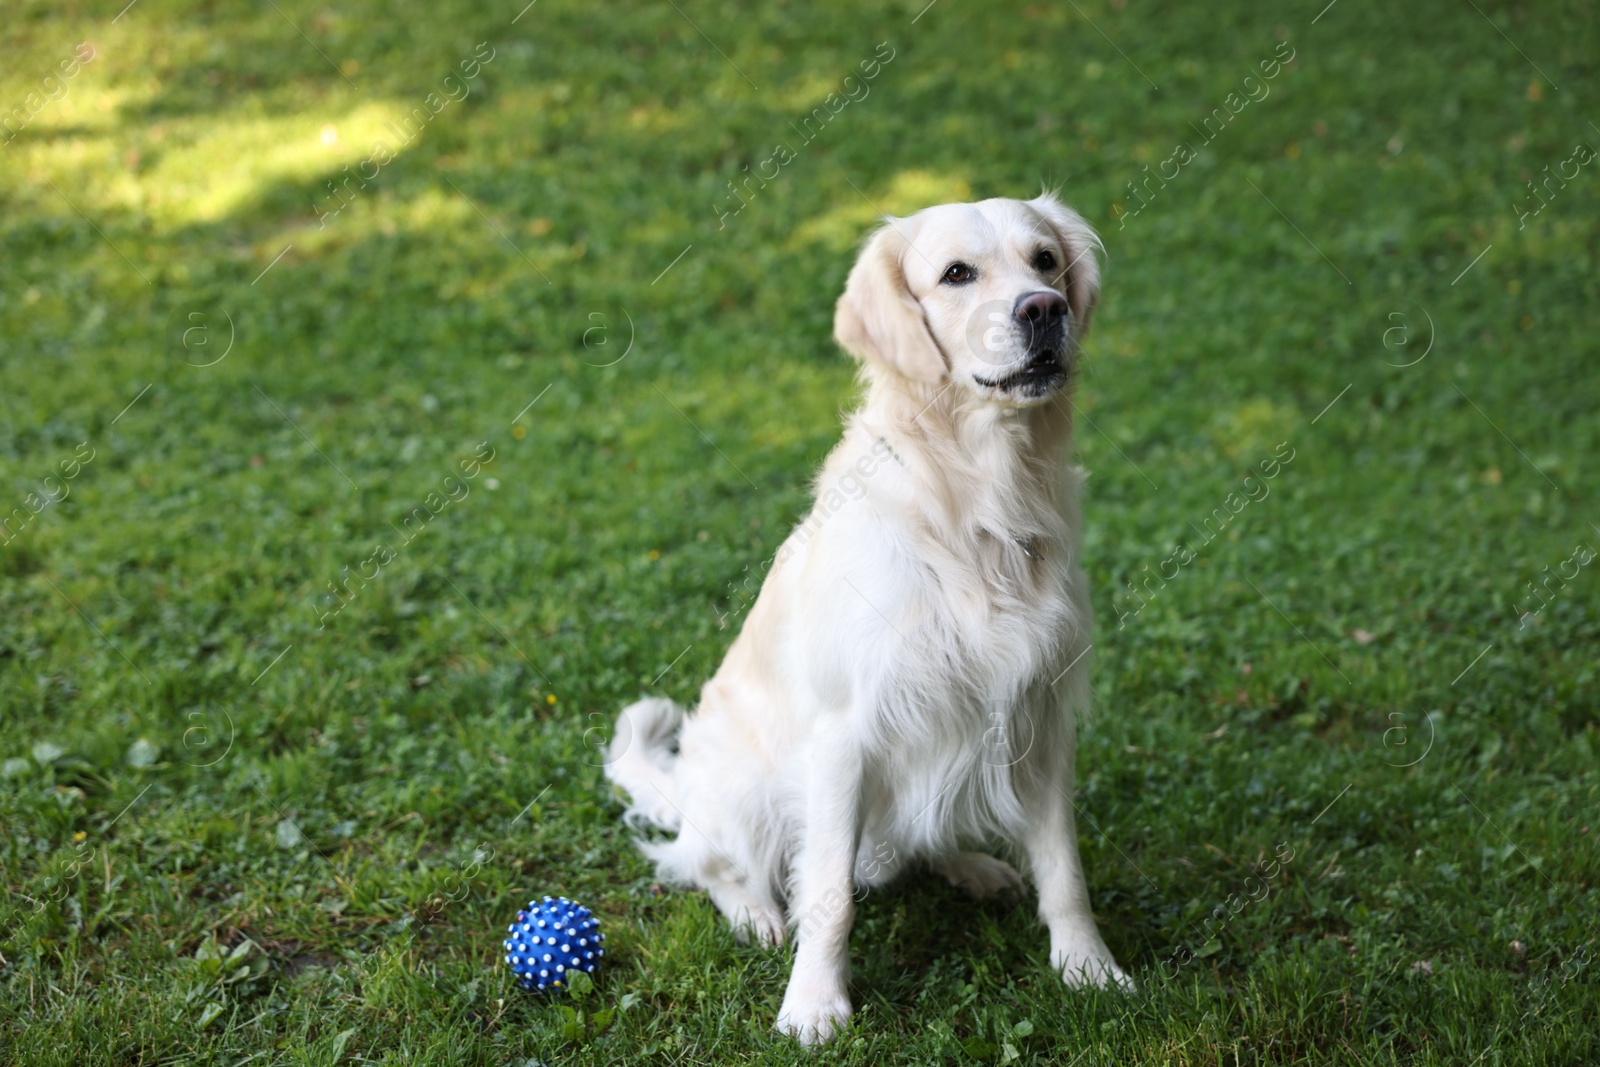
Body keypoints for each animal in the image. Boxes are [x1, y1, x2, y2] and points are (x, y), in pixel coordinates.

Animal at [608, 191, 1126, 1043]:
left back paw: (973, 866)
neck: (978, 500)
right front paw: (814, 1003)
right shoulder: (845, 733)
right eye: (956, 274)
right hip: (745, 785)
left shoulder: (1041, 712)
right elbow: (829, 894)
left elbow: (1064, 866)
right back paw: (755, 913)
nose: (1044, 309)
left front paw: (1088, 966)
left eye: (1046, 261)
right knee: (707, 861)